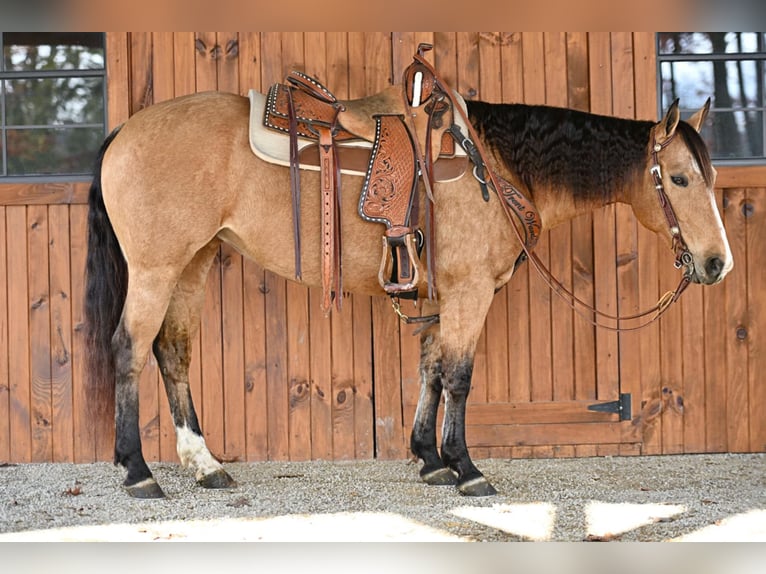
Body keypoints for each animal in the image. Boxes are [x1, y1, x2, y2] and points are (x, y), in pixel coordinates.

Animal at [82, 51, 732, 500]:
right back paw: (138, 472)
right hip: (156, 269)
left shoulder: (445, 296)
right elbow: (460, 377)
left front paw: (430, 459)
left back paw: (206, 465)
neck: (496, 167)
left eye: (711, 176)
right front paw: (466, 468)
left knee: (173, 353)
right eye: (679, 179)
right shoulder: (470, 293)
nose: (717, 263)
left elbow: (432, 370)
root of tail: (123, 132)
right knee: (129, 349)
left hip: (193, 264)